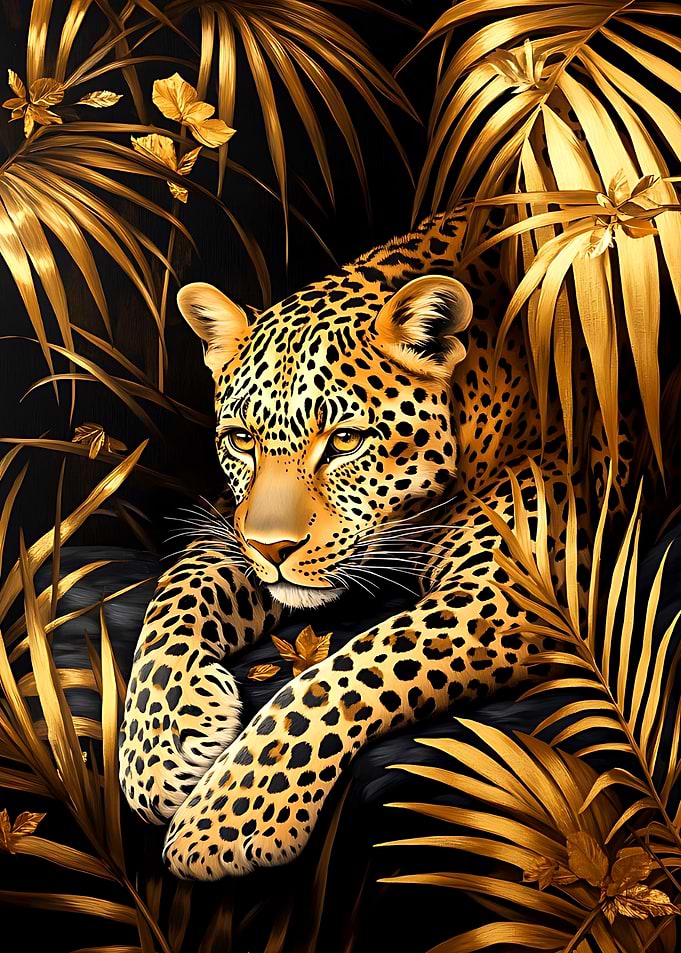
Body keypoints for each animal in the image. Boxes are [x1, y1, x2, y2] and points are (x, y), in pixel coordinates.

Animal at [119, 206, 628, 881]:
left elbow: (344, 676)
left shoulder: (505, 591)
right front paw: (160, 744)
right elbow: (178, 593)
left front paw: (228, 817)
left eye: (345, 441)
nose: (272, 551)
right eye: (241, 440)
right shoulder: (238, 530)